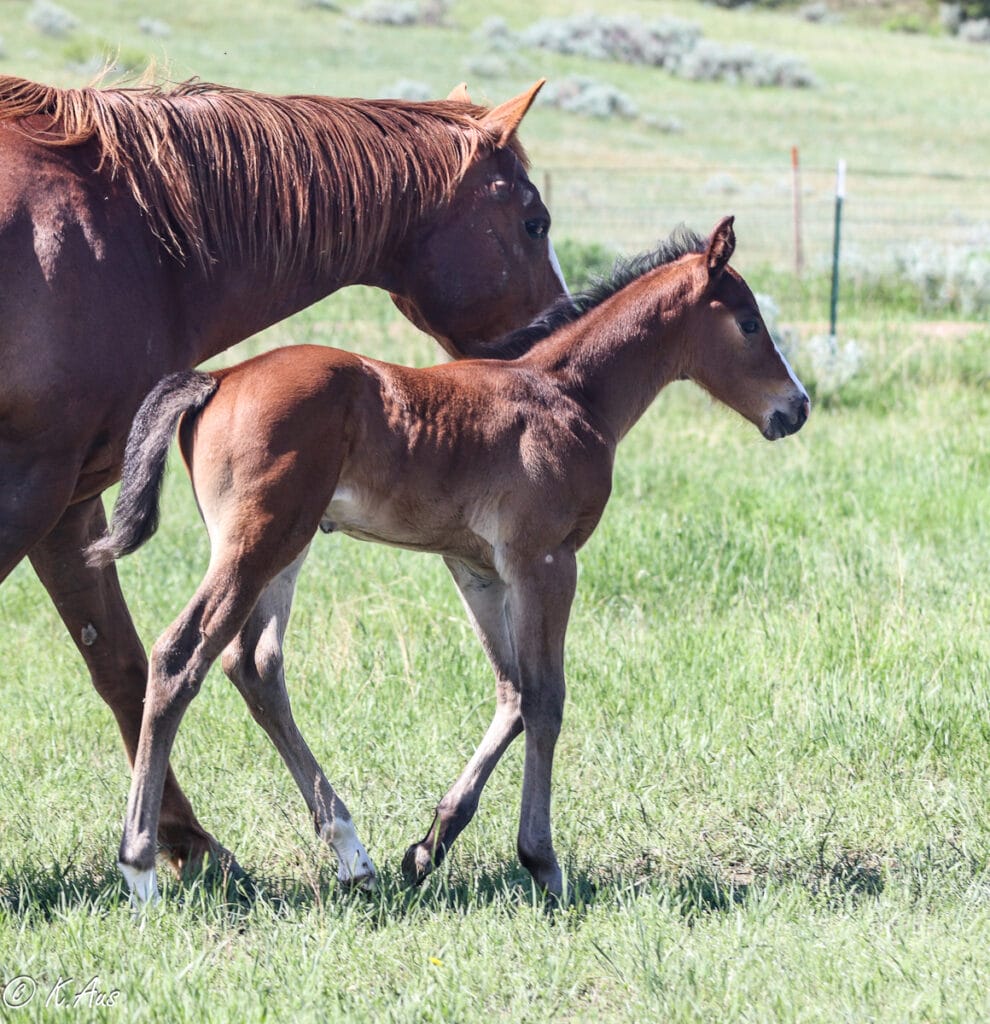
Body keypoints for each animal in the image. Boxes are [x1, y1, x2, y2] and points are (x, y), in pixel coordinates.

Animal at [89, 218, 810, 905]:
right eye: (749, 322)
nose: (796, 407)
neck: (569, 395)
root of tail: (217, 379)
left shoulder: (477, 570)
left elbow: (512, 693)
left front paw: (429, 845)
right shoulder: (546, 561)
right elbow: (547, 698)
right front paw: (542, 862)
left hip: (283, 549)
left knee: (256, 667)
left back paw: (352, 854)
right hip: (255, 545)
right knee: (181, 656)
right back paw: (141, 864)